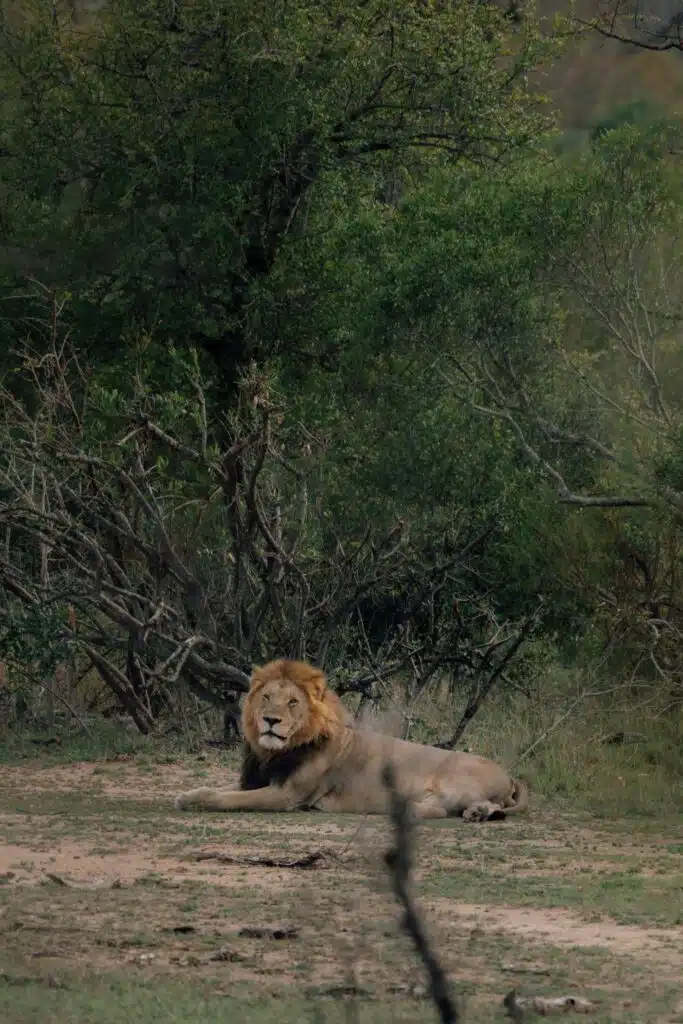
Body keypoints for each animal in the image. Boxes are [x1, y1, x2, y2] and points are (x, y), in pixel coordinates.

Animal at [174, 659, 529, 822]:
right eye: (266, 697)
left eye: (292, 702)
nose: (270, 721)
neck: (272, 752)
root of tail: (510, 775)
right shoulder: (256, 780)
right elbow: (216, 788)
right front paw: (186, 795)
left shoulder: (287, 795)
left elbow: (227, 799)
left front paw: (197, 802)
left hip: (452, 781)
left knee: (461, 808)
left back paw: (475, 811)